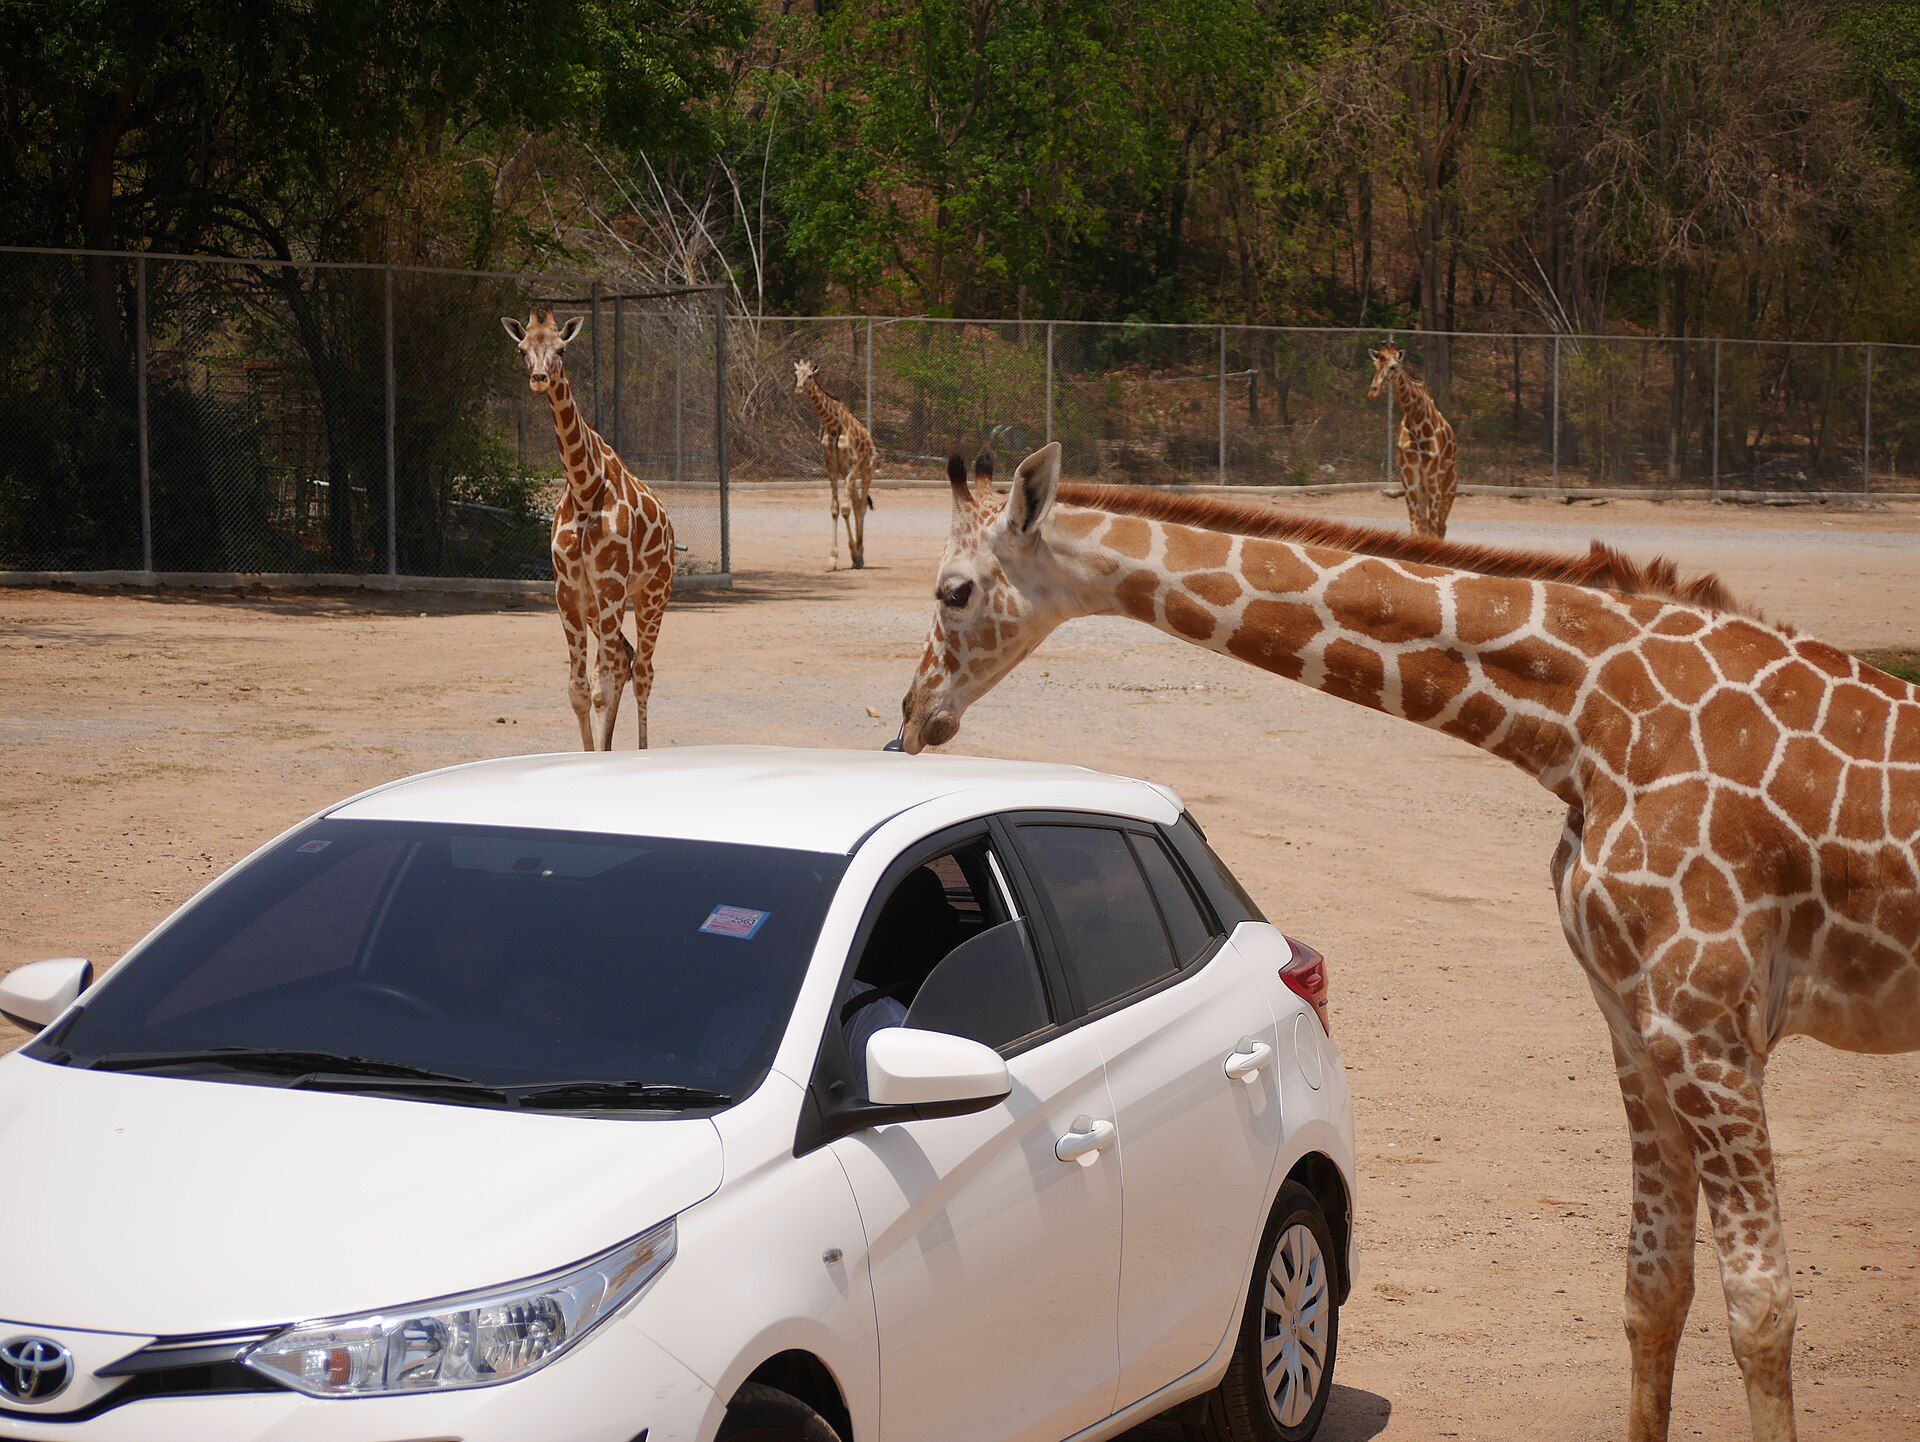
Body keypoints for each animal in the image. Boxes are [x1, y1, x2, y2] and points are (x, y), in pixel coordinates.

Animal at [501, 310, 675, 749]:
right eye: (522, 349)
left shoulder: (611, 584)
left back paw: (643, 750)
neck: (583, 486)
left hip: (652, 593)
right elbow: (579, 689)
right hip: (600, 605)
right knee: (625, 660)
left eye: (561, 349)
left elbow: (602, 689)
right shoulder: (569, 590)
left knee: (642, 670)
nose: (540, 377)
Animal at [794, 358, 877, 570]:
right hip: (851, 475)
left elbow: (845, 509)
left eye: (810, 375)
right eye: (796, 374)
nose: (798, 389)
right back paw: (859, 555)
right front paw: (833, 559)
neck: (834, 425)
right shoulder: (832, 470)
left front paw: (853, 552)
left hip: (867, 470)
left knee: (861, 505)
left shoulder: (851, 468)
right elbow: (835, 509)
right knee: (857, 503)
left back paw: (860, 553)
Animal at [900, 442, 1920, 1442]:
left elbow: (1763, 1310)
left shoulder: (1711, 1022)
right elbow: (1654, 1287)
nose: (912, 716)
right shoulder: (1638, 1022)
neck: (1584, 719)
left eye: (954, 590)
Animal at [1368, 342, 1459, 540]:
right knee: (1427, 523)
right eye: (1376, 365)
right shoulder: (1409, 475)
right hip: (1425, 487)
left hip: (1448, 485)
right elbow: (1415, 524)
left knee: (1441, 527)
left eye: (1393, 367)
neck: (1417, 420)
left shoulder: (1432, 477)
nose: (1373, 390)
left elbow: (1431, 527)